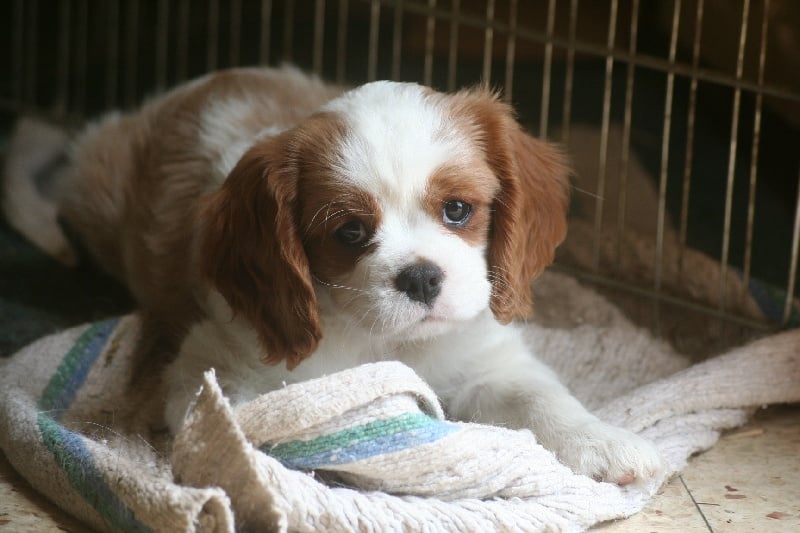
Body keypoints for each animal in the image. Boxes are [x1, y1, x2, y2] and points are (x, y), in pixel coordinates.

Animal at [3, 66, 663, 486]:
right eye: (349, 232)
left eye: (457, 210)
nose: (422, 278)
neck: (389, 340)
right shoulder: (218, 371)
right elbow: (291, 425)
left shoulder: (487, 356)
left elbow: (539, 396)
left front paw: (602, 442)